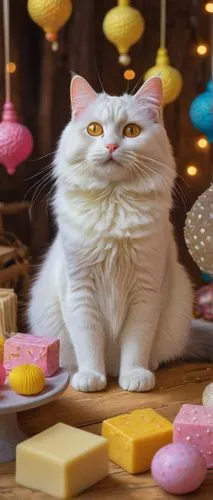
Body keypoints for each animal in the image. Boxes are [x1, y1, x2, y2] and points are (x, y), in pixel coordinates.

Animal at [28, 76, 195, 392]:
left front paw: (134, 376)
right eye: (94, 129)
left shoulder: (146, 292)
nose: (110, 146)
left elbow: (136, 343)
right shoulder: (80, 291)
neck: (113, 203)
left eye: (131, 131)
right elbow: (89, 342)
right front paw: (92, 377)